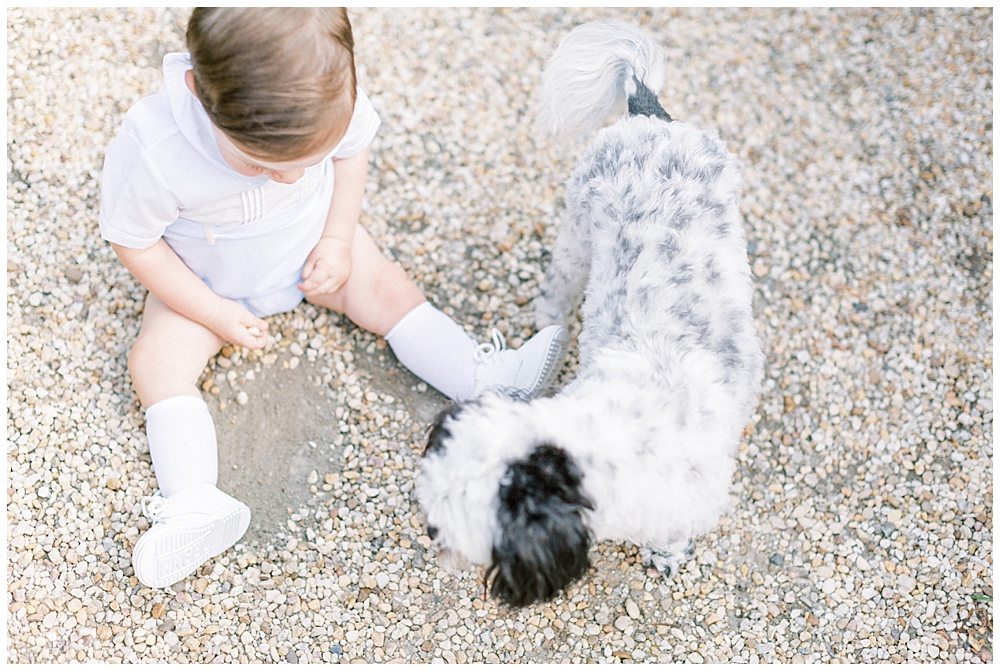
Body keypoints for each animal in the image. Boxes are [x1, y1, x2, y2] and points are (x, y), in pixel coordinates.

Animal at [418, 21, 760, 608]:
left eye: (453, 516)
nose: (429, 531)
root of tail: (648, 115)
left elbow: (673, 534)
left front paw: (665, 555)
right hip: (578, 231)